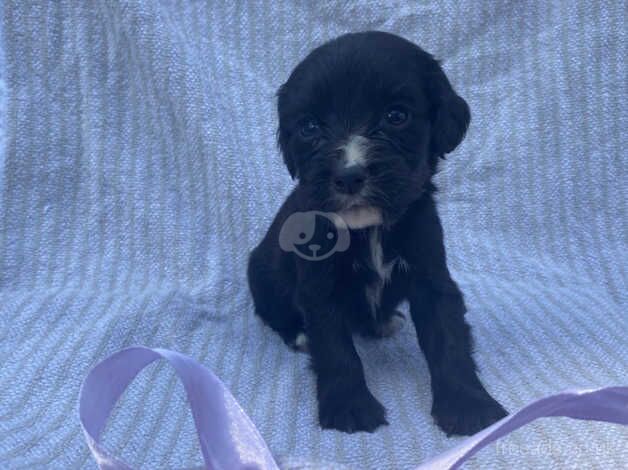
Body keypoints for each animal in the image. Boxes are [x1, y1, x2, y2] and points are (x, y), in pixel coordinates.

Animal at [248, 32, 508, 436]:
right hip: (262, 273)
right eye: (309, 127)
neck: (367, 230)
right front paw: (349, 407)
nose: (349, 176)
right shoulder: (320, 288)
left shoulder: (431, 275)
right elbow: (336, 348)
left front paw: (469, 405)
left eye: (396, 116)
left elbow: (449, 340)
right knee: (274, 312)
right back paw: (299, 335)